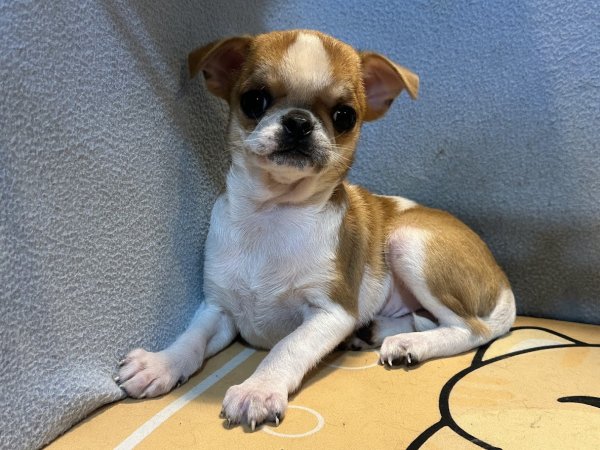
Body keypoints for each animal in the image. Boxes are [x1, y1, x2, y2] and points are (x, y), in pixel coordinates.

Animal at [116, 30, 516, 431]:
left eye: (345, 116)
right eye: (254, 100)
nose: (298, 121)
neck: (274, 214)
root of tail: (503, 282)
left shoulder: (330, 313)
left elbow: (286, 347)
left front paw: (258, 389)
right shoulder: (218, 309)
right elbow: (192, 339)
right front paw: (161, 364)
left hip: (408, 242)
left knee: (471, 330)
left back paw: (410, 345)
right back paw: (378, 331)